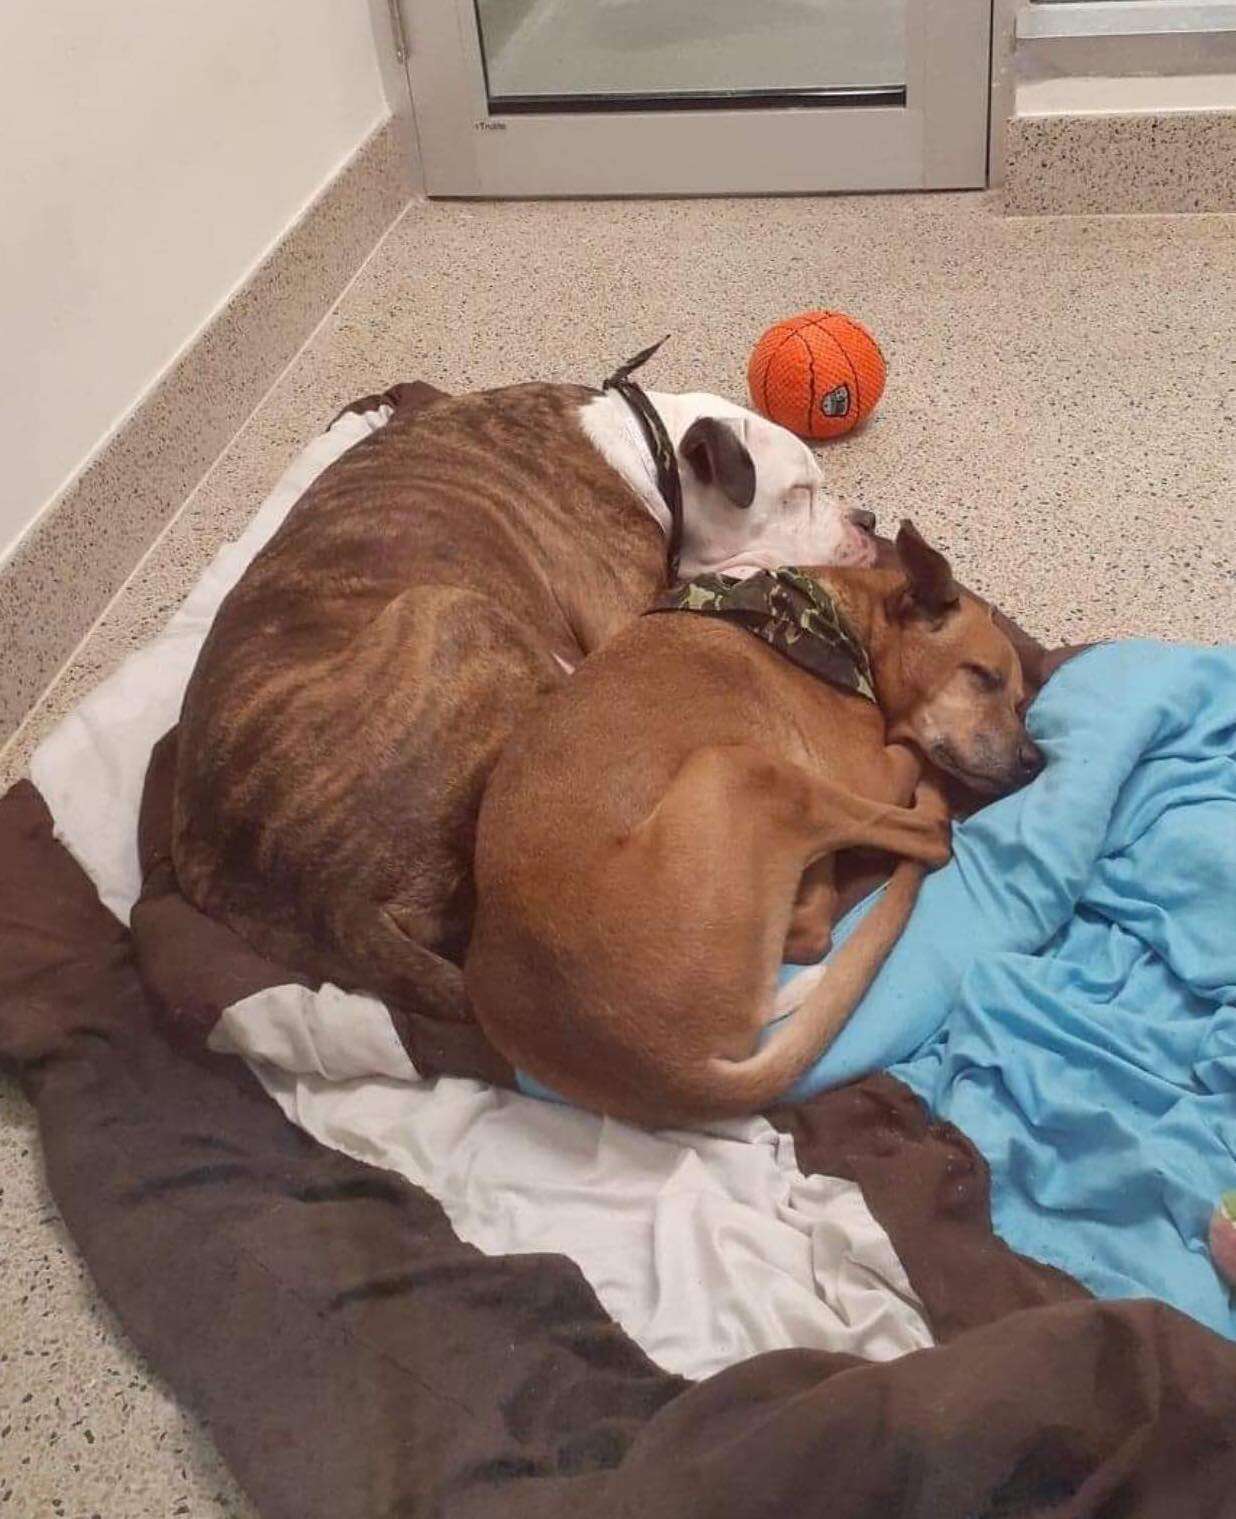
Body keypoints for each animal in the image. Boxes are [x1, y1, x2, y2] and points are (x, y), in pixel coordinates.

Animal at [467, 522, 1044, 1130]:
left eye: (1020, 700)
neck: (842, 624)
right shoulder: (871, 775)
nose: (1035, 762)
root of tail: (675, 1074)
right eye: (981, 677)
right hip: (740, 769)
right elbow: (913, 758)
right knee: (921, 846)